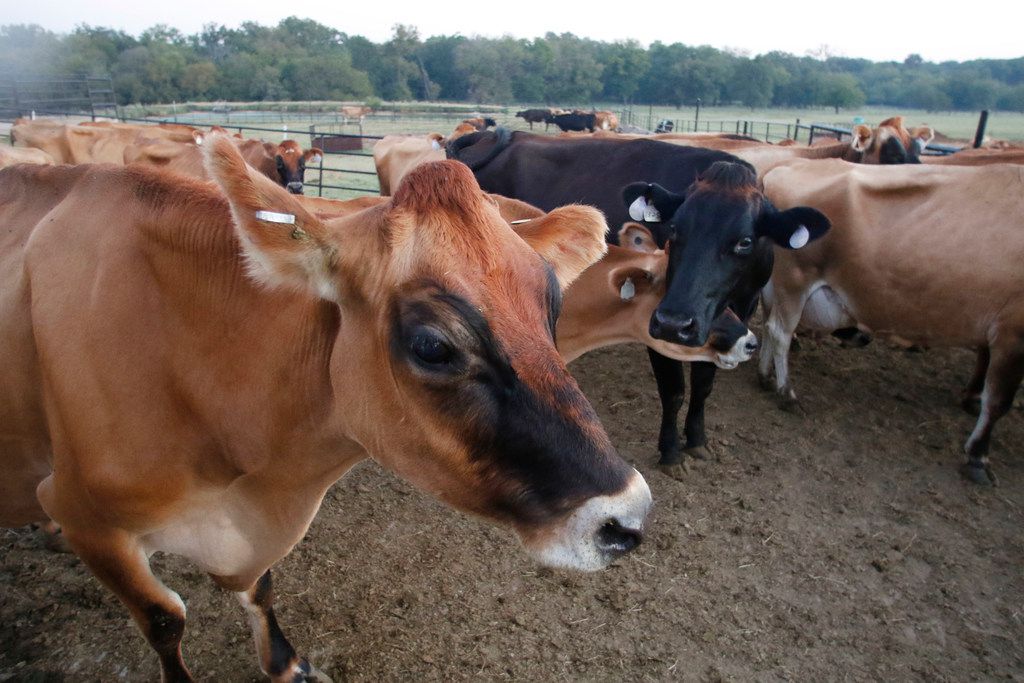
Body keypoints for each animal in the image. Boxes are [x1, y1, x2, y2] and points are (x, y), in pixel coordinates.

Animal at [0, 138, 655, 680]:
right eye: (432, 346)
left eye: (552, 310)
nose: (627, 518)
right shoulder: (87, 518)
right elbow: (164, 618)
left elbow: (260, 588)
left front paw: (285, 663)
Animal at [759, 158, 1024, 484]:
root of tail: (786, 167)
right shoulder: (1012, 332)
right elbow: (998, 400)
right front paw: (978, 457)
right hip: (795, 280)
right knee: (780, 332)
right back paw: (787, 393)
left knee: (770, 326)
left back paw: (765, 376)